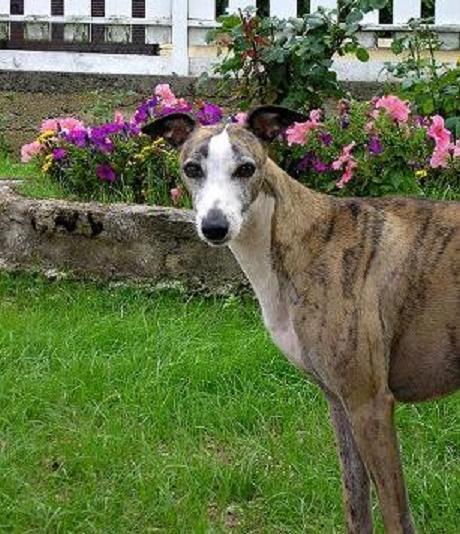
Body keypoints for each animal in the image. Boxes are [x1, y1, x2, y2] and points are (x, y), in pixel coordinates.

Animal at [144, 107, 460, 532]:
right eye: (192, 168)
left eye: (246, 168)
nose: (215, 227)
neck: (305, 240)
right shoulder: (341, 403)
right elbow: (356, 503)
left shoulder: (371, 403)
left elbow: (397, 515)